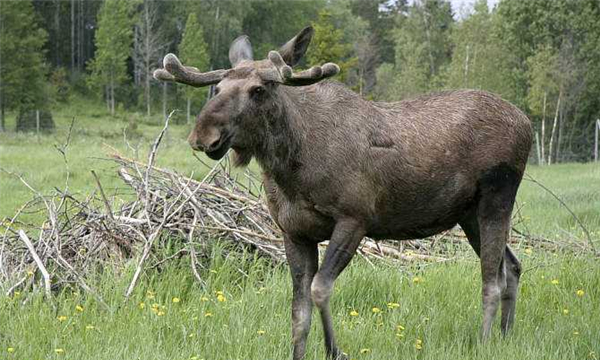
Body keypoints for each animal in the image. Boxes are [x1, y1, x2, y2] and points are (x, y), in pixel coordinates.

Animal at [154, 26, 528, 358]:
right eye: (217, 86)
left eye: (259, 90)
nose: (204, 135)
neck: (291, 173)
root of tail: (526, 123)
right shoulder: (293, 232)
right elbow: (298, 311)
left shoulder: (354, 218)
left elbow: (320, 289)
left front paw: (335, 350)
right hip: (467, 214)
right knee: (512, 266)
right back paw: (506, 336)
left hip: (496, 196)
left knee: (491, 280)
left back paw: (485, 342)